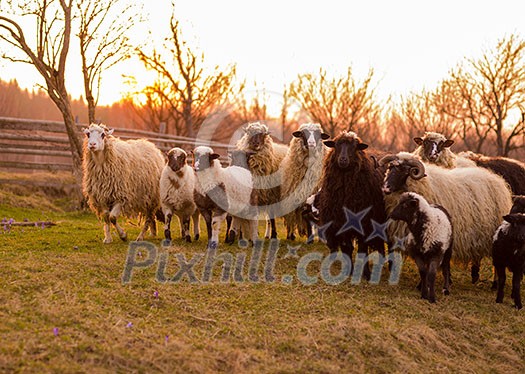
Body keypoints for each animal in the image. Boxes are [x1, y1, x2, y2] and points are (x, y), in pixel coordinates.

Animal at [316, 131, 388, 278]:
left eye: (354, 147)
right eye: (336, 145)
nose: (343, 160)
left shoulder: (365, 222)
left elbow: (362, 249)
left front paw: (365, 273)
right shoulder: (341, 221)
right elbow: (347, 248)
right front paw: (348, 271)